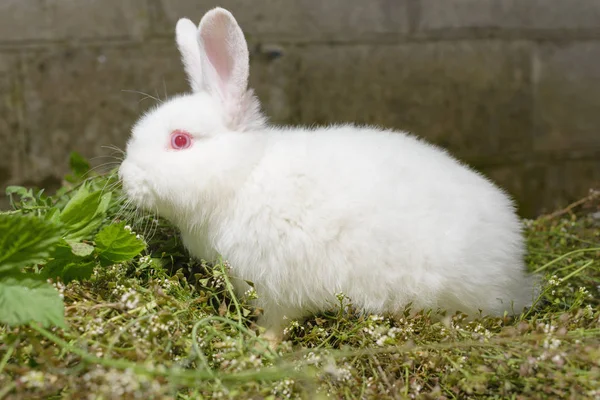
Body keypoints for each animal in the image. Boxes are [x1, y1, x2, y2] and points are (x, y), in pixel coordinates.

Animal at [118, 7, 540, 346]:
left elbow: (276, 323)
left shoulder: (276, 289)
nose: (125, 178)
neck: (244, 177)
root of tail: (515, 266)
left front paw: (260, 346)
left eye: (180, 140)